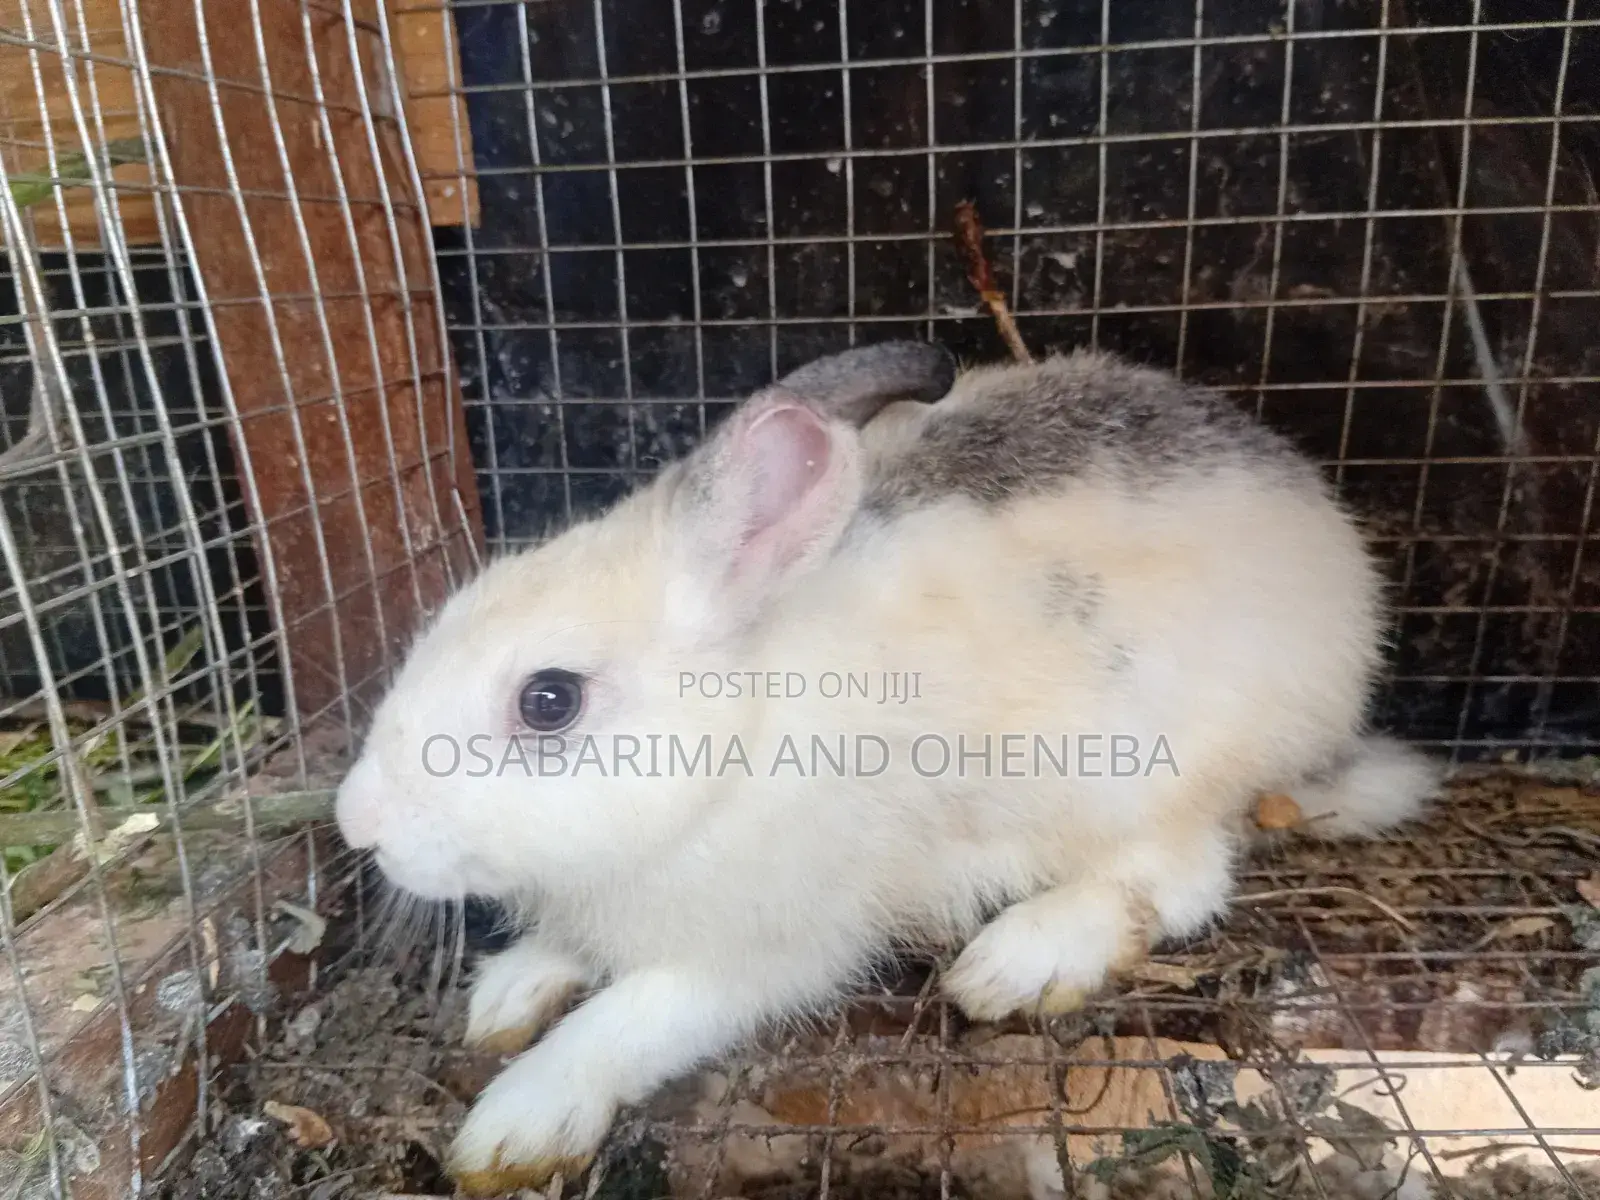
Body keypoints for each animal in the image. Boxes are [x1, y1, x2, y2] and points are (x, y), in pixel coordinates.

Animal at [334, 340, 1442, 1196]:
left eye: (549, 701)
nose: (356, 822)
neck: (734, 746)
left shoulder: (764, 952)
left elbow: (625, 1019)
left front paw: (516, 1122)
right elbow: (567, 955)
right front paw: (506, 993)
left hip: (1146, 778)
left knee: (1179, 880)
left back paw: (1024, 956)